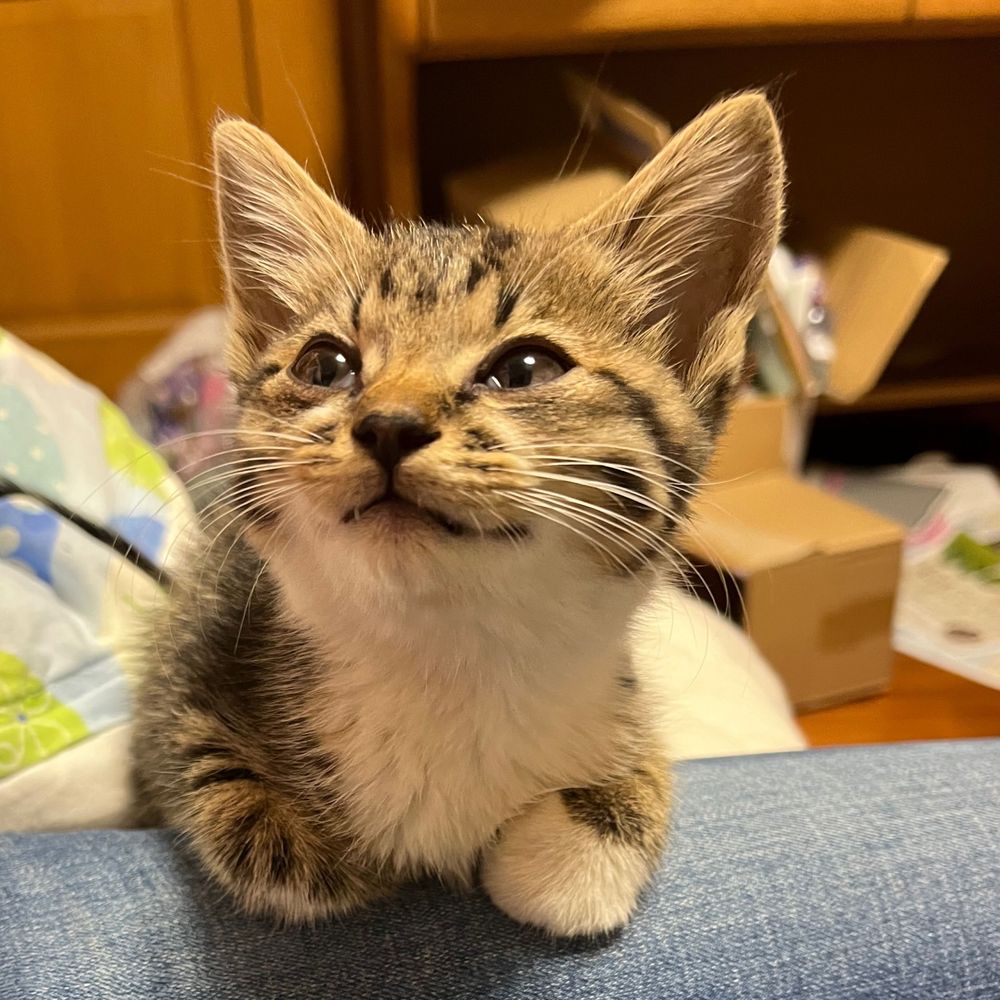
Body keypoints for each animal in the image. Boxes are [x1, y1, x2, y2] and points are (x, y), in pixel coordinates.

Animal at [133, 94, 784, 936]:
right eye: (325, 365)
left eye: (527, 368)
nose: (389, 425)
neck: (444, 652)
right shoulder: (186, 651)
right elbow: (196, 757)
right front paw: (297, 841)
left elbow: (636, 756)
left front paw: (575, 853)